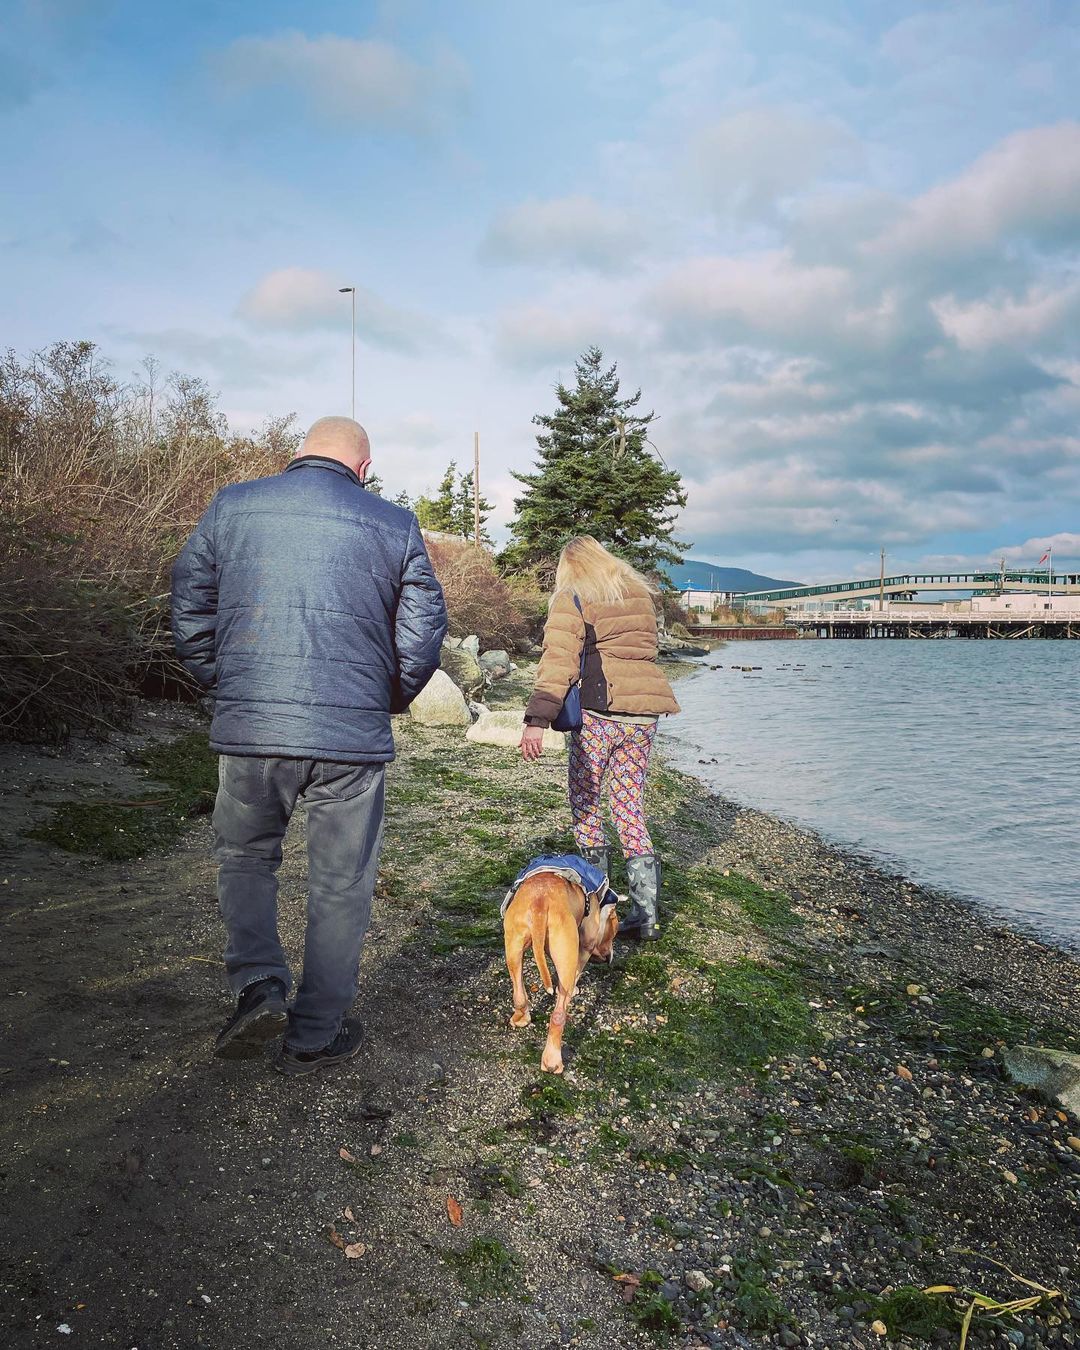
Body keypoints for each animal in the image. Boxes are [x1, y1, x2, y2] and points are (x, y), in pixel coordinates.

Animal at [504, 874, 621, 1074]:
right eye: (613, 933)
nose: (609, 958)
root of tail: (540, 904)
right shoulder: (585, 945)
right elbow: (577, 971)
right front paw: (574, 989)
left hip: (513, 946)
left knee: (518, 994)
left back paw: (521, 1018)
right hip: (565, 952)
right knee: (558, 1015)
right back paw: (552, 1062)